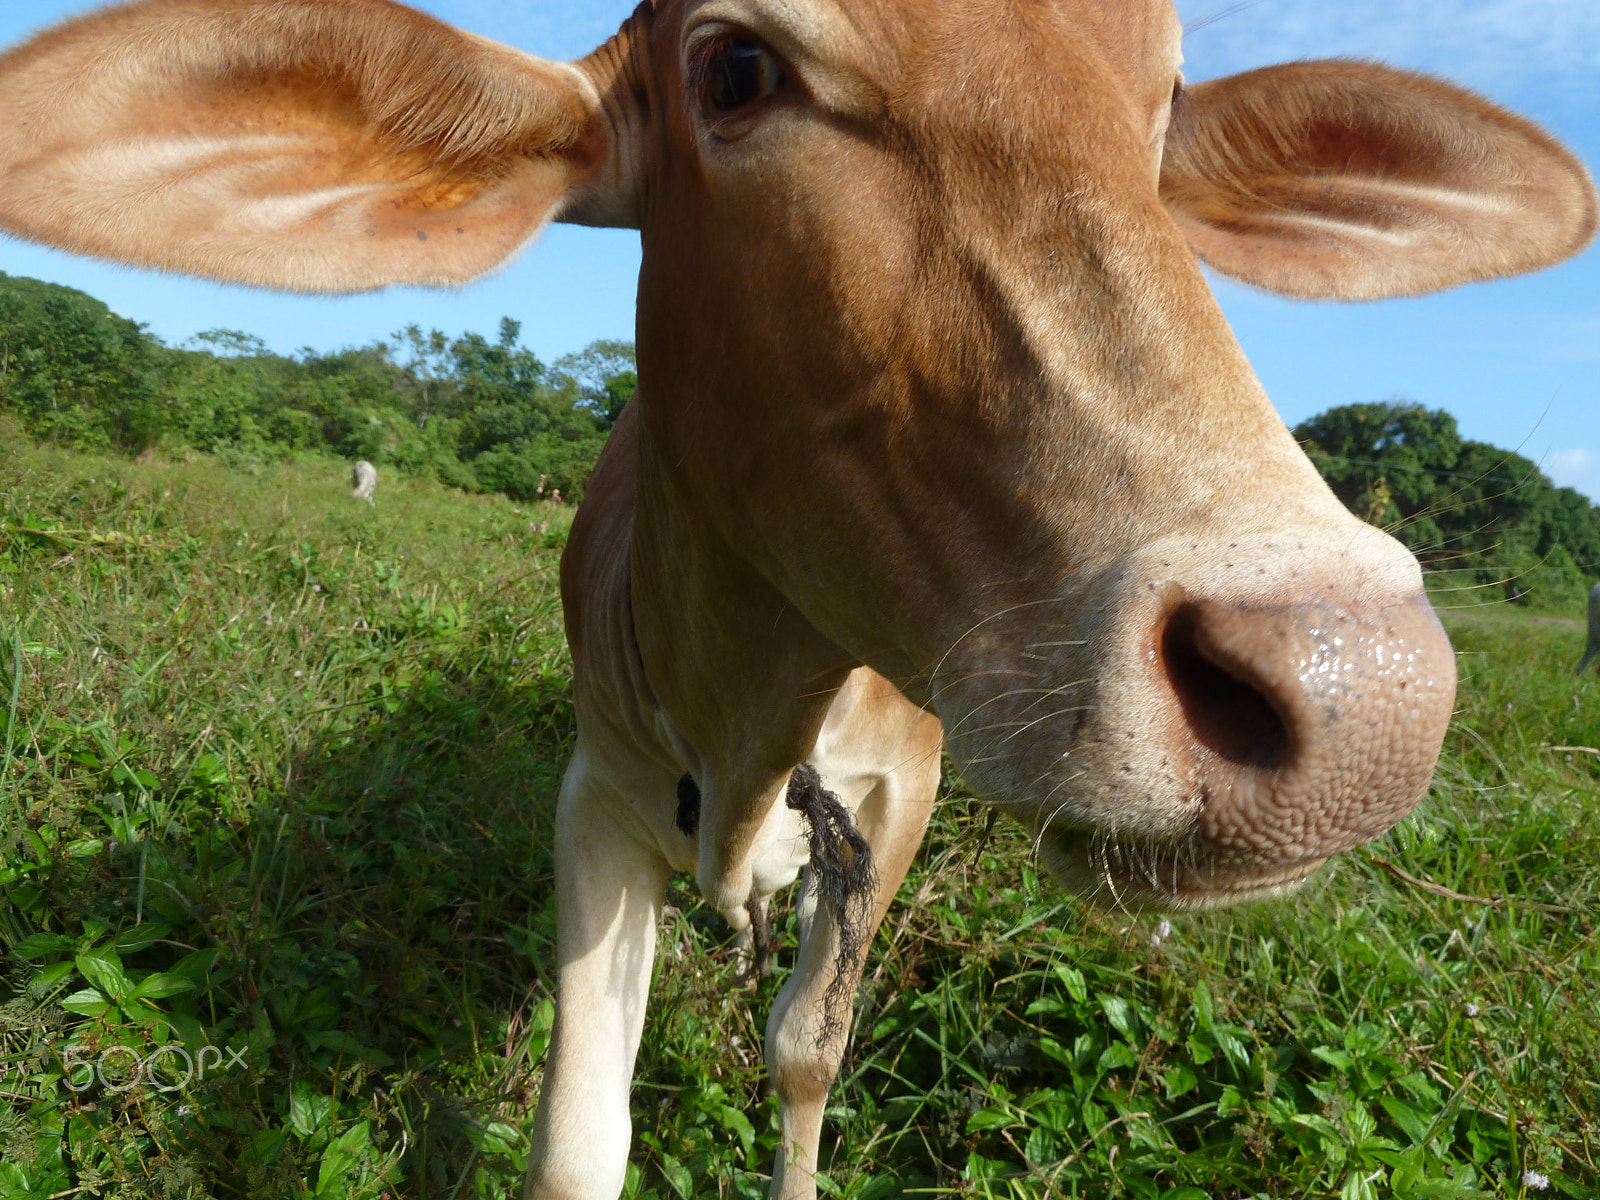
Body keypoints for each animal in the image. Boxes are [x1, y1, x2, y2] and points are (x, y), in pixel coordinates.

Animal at [6, 2, 1593, 1200]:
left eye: (1164, 113)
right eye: (736, 69)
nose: (1358, 695)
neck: (750, 723)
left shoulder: (898, 797)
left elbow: (805, 1055)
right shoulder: (598, 795)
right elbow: (578, 1136)